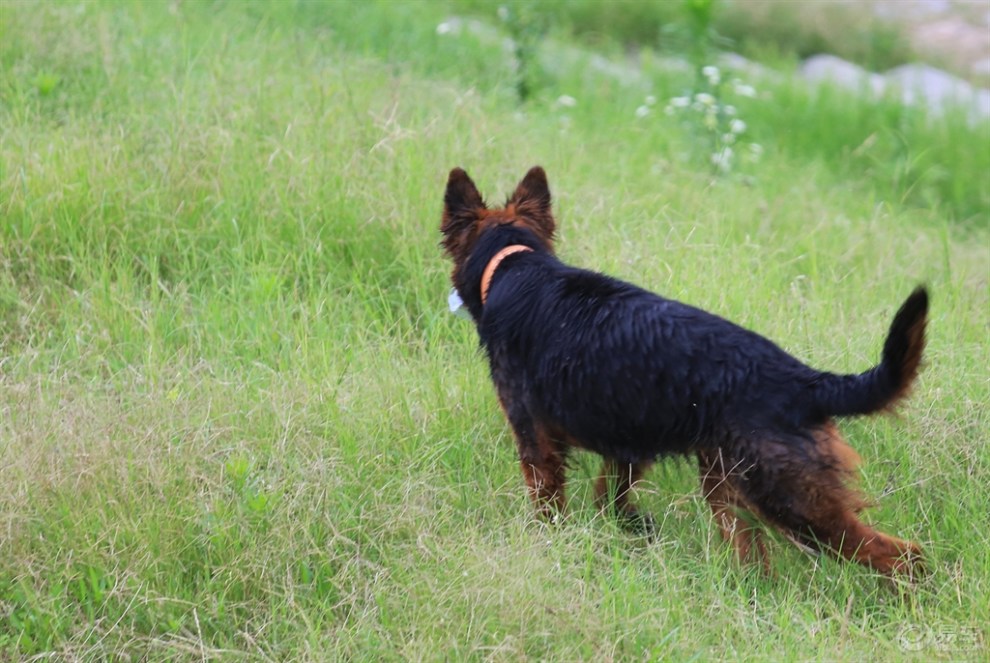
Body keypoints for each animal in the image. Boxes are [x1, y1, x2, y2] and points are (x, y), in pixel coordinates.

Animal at [442, 165, 928, 576]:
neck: (516, 265)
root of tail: (804, 381)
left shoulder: (535, 440)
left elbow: (549, 502)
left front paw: (552, 541)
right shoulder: (627, 445)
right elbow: (609, 494)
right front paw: (631, 525)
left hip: (792, 499)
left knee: (900, 555)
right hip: (729, 487)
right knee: (756, 551)